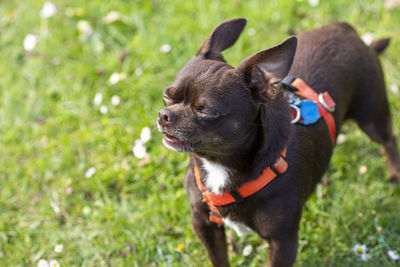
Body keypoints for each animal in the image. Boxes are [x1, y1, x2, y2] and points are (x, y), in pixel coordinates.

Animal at [156, 17, 400, 266]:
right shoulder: (204, 224)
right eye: (167, 95)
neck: (219, 165)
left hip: (372, 116)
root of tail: (345, 29)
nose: (164, 115)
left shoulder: (283, 241)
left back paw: (394, 174)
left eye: (206, 111)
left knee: (389, 139)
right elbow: (219, 259)